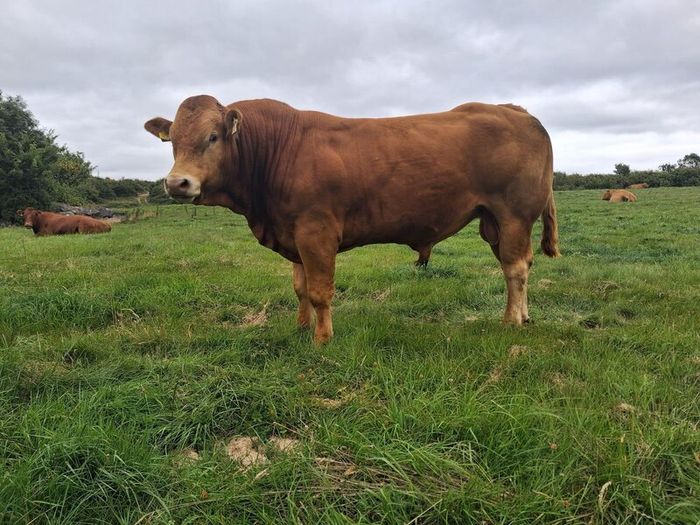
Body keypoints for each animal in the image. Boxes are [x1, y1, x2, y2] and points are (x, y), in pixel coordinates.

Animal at [145, 95, 559, 343]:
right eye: (172, 141)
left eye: (213, 136)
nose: (177, 182)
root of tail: (514, 109)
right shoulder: (293, 234)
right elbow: (300, 288)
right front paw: (301, 328)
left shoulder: (316, 232)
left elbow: (319, 291)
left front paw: (322, 339)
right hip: (495, 222)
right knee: (522, 264)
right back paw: (523, 317)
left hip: (513, 215)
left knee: (515, 269)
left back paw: (510, 322)